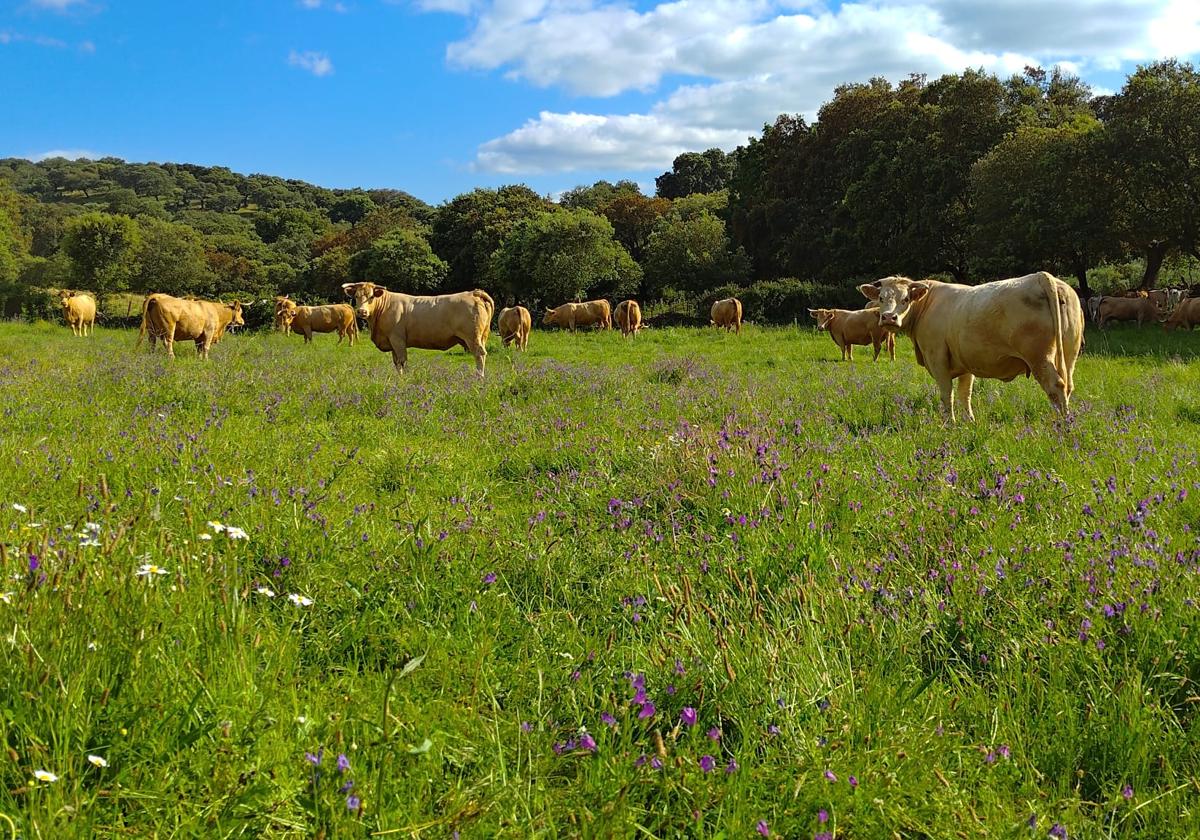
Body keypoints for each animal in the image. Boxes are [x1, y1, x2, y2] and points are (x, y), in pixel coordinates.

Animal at [343, 282, 492, 376]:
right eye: (356, 296)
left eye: (371, 296)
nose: (362, 312)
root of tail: (473, 293)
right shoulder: (392, 343)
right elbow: (396, 363)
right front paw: (399, 378)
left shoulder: (398, 340)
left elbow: (402, 361)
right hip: (481, 337)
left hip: (472, 337)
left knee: (479, 355)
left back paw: (479, 377)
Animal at [859, 272, 1084, 420]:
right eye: (881, 298)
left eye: (905, 299)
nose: (889, 317)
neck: (926, 305)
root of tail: (1042, 276)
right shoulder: (965, 363)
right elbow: (964, 395)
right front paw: (969, 423)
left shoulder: (937, 357)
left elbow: (946, 395)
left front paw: (948, 424)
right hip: (1069, 356)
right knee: (1068, 386)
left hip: (1039, 357)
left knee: (1056, 387)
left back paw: (1061, 427)